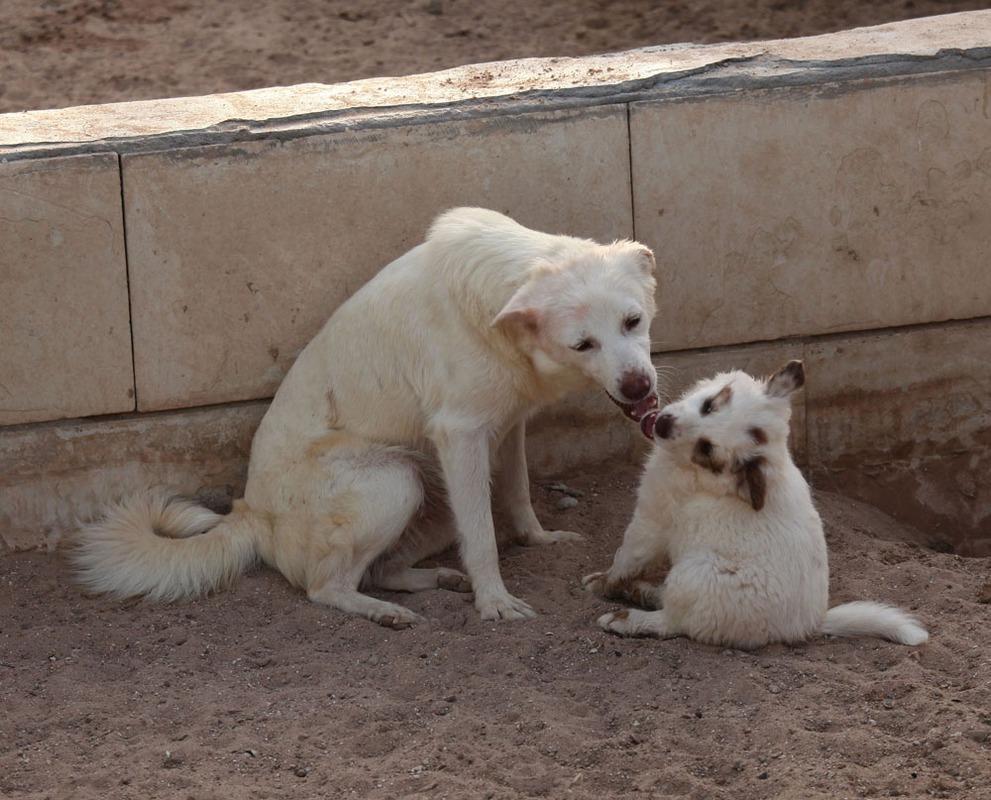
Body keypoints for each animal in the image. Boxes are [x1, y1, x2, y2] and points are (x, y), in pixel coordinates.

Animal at [68, 209, 660, 628]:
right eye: (583, 344)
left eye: (633, 321)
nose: (640, 388)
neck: (499, 316)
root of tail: (250, 513)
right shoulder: (462, 436)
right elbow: (484, 538)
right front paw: (494, 601)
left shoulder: (505, 425)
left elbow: (517, 495)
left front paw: (538, 540)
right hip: (396, 481)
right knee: (324, 587)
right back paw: (384, 612)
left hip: (430, 492)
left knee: (383, 569)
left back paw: (436, 581)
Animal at [580, 362, 928, 648]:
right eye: (708, 405)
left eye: (706, 449)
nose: (662, 424)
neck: (698, 472)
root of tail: (809, 626)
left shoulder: (651, 521)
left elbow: (623, 559)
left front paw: (600, 584)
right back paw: (641, 591)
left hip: (696, 573)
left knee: (672, 622)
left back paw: (624, 617)